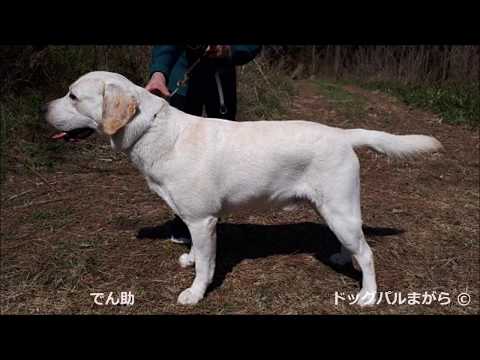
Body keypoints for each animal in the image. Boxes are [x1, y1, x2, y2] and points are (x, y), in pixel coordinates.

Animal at [45, 71, 442, 306]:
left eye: (73, 96)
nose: (42, 108)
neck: (154, 132)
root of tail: (342, 134)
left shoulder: (203, 220)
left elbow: (207, 265)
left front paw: (195, 292)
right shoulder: (194, 219)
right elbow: (196, 252)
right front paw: (190, 259)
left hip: (340, 210)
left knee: (369, 253)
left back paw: (368, 295)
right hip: (332, 211)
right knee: (355, 244)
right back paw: (344, 258)